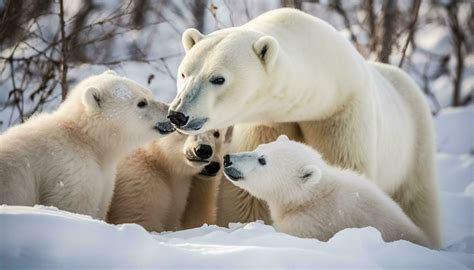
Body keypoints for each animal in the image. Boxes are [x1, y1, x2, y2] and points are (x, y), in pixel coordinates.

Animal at [168, 8, 440, 246]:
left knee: (418, 200)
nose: (178, 115)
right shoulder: (268, 120)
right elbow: (247, 197)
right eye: (184, 73)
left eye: (218, 78)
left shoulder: (340, 115)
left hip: (415, 145)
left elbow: (340, 165)